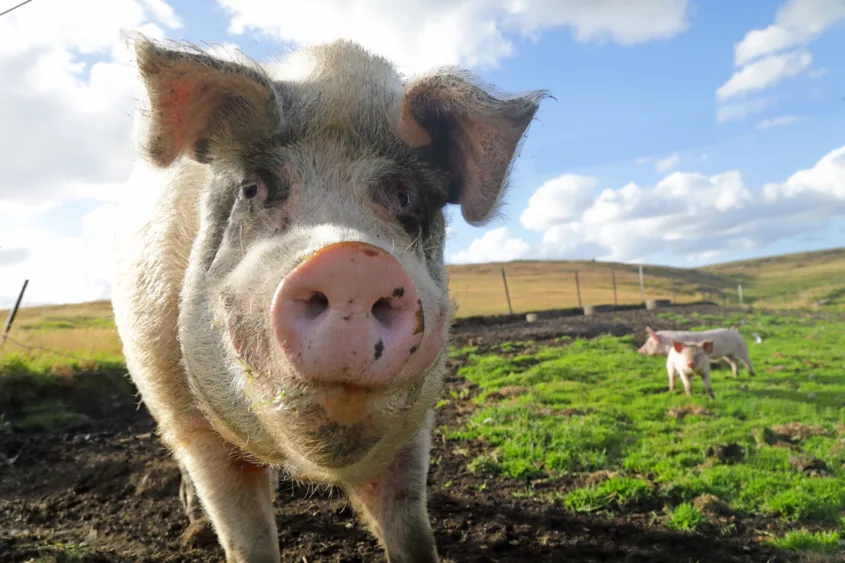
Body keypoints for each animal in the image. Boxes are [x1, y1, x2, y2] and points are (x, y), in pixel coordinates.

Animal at [110, 35, 548, 563]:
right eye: (252, 188)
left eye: (405, 197)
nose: (351, 261)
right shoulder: (187, 418)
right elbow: (246, 538)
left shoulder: (414, 423)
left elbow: (409, 529)